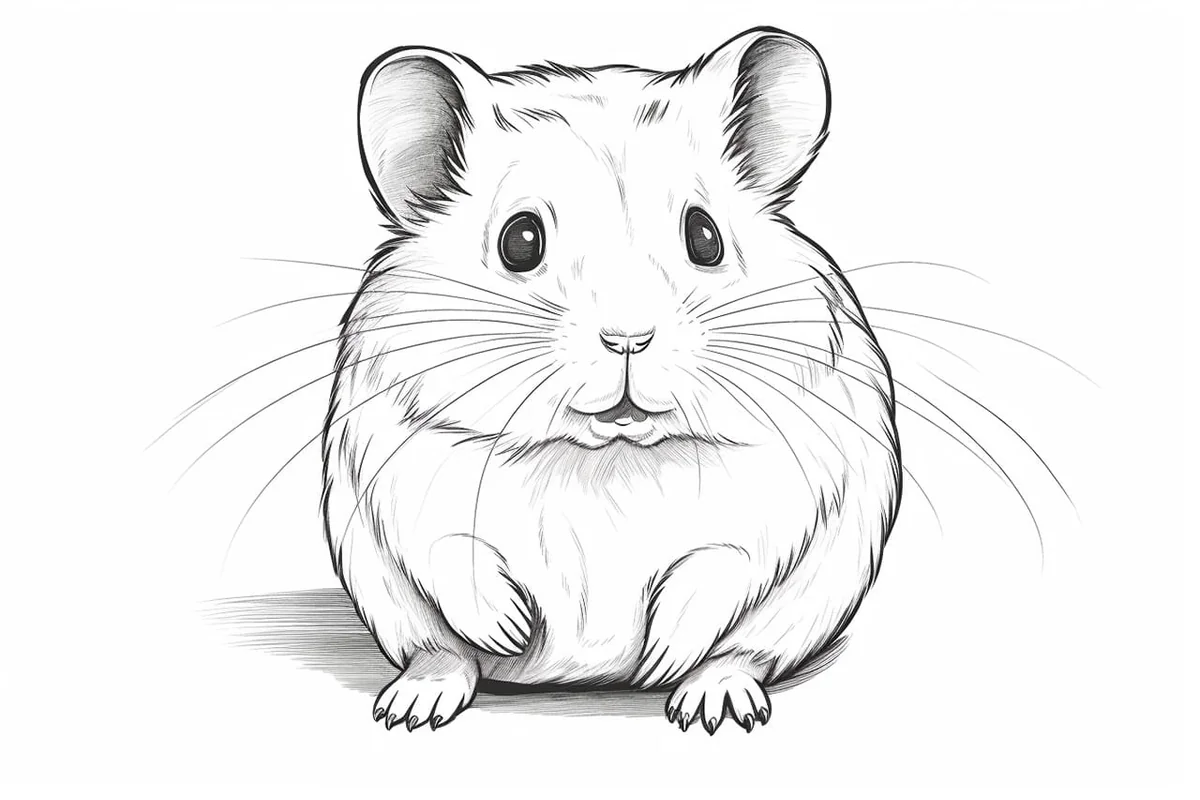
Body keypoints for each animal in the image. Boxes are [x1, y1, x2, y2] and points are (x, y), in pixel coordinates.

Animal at [321, 26, 901, 734]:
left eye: (705, 236)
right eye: (520, 241)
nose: (628, 339)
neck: (607, 453)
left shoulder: (788, 482)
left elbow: (723, 562)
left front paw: (657, 661)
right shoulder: (402, 470)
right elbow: (451, 549)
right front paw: (511, 631)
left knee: (743, 653)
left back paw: (711, 704)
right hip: (394, 607)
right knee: (439, 652)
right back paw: (413, 706)